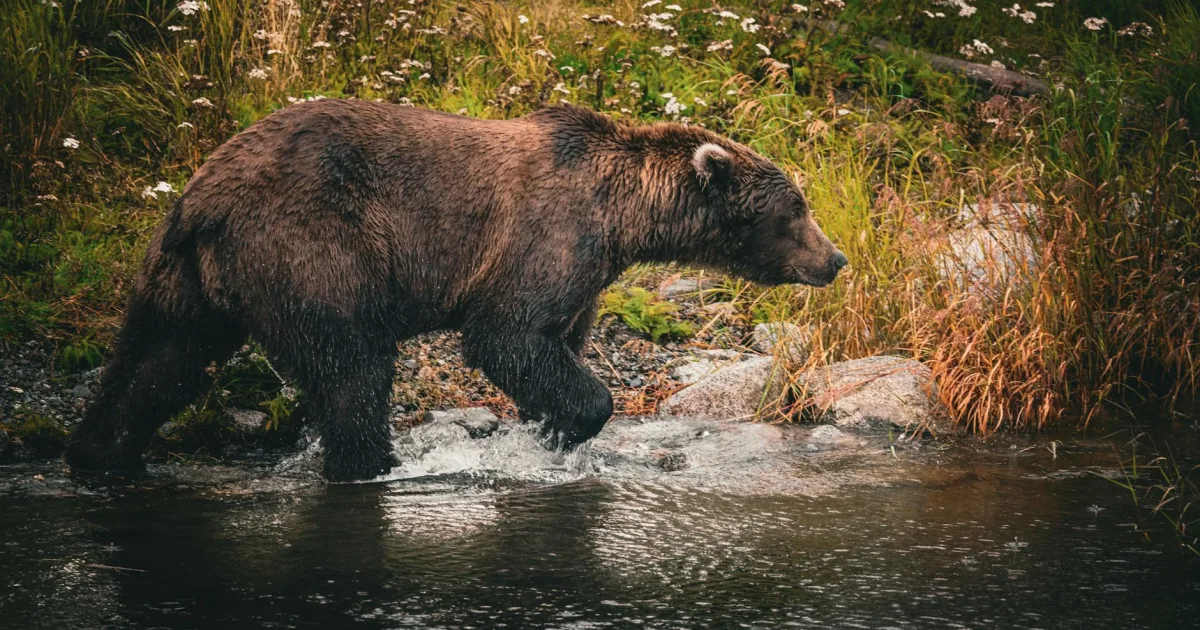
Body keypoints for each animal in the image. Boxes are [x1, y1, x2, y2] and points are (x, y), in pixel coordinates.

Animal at [64, 100, 847, 482]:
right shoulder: (546, 235)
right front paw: (572, 421)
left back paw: (102, 455)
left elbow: (556, 344)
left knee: (154, 361)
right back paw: (374, 467)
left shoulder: (587, 276)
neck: (623, 216)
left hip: (182, 277)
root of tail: (204, 196)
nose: (836, 258)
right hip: (311, 248)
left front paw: (548, 431)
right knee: (351, 368)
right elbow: (507, 334)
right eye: (797, 207)